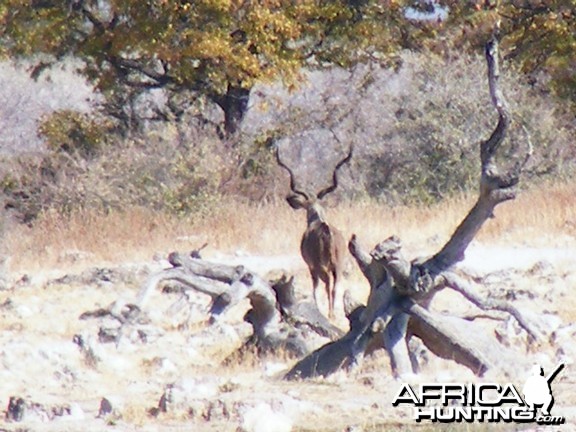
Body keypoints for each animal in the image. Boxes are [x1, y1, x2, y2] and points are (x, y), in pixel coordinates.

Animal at [274, 143, 352, 318]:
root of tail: (327, 231)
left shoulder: (311, 267)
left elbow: (315, 290)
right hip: (338, 266)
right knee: (336, 286)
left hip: (322, 267)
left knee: (327, 285)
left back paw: (330, 314)